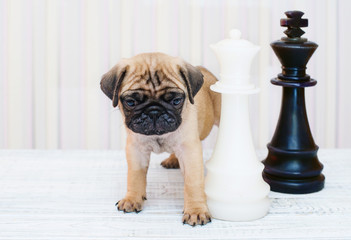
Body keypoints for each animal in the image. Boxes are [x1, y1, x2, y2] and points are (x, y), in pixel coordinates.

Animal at [100, 51, 220, 226]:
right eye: (131, 102)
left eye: (176, 101)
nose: (154, 111)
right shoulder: (136, 151)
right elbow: (135, 177)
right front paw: (132, 199)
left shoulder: (189, 151)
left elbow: (193, 183)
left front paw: (196, 210)